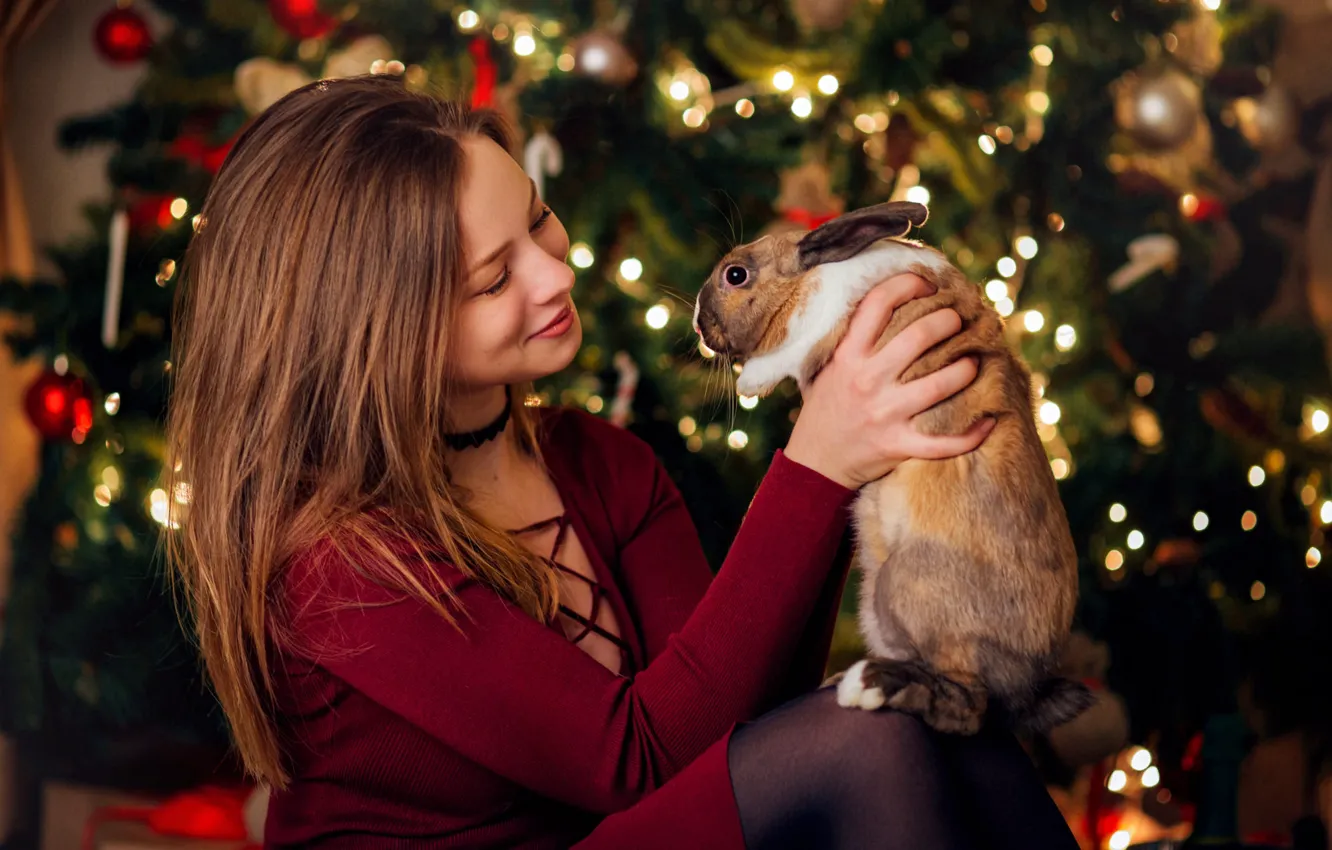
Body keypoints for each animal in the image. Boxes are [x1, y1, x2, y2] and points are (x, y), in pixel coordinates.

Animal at [693, 201, 1093, 735]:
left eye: (735, 275)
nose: (699, 326)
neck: (815, 275)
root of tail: (1027, 685)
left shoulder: (817, 328)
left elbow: (785, 355)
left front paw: (751, 382)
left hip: (904, 588)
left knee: (968, 705)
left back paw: (869, 686)